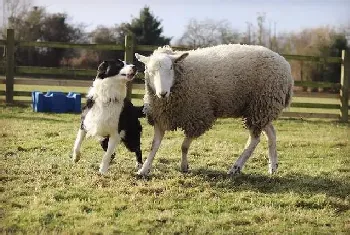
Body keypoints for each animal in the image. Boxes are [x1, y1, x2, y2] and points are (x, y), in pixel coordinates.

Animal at [135, 44, 294, 176]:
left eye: (170, 68)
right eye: (150, 71)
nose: (162, 93)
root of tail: (285, 63)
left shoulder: (197, 117)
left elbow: (184, 146)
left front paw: (184, 166)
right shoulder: (160, 117)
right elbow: (154, 146)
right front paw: (144, 170)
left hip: (261, 104)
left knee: (254, 139)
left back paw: (235, 168)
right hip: (260, 109)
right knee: (271, 133)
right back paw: (272, 167)